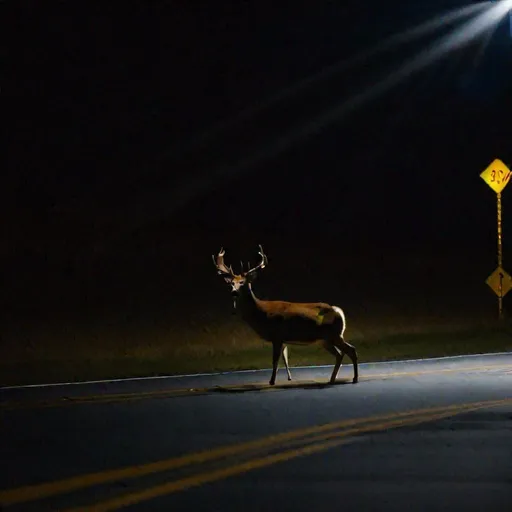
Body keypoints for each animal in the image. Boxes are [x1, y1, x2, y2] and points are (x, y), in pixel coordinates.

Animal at [210, 244, 358, 384]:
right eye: (231, 283)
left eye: (243, 282)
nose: (234, 292)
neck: (261, 313)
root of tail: (338, 312)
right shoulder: (284, 339)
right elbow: (285, 359)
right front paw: (287, 378)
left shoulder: (277, 335)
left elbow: (275, 360)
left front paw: (272, 381)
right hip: (325, 339)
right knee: (340, 354)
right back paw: (332, 379)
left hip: (334, 334)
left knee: (351, 350)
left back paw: (354, 378)